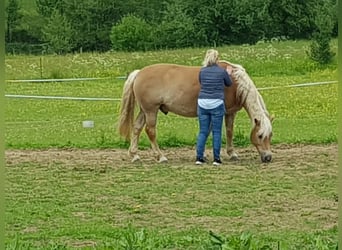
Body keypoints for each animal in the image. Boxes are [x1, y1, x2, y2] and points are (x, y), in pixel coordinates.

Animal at [119, 59, 274, 163]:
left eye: (270, 135)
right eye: (260, 135)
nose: (268, 157)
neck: (235, 83)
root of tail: (139, 73)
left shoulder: (230, 112)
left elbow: (228, 131)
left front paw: (230, 153)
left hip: (144, 111)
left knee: (137, 128)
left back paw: (135, 155)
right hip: (151, 110)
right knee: (150, 131)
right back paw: (160, 156)